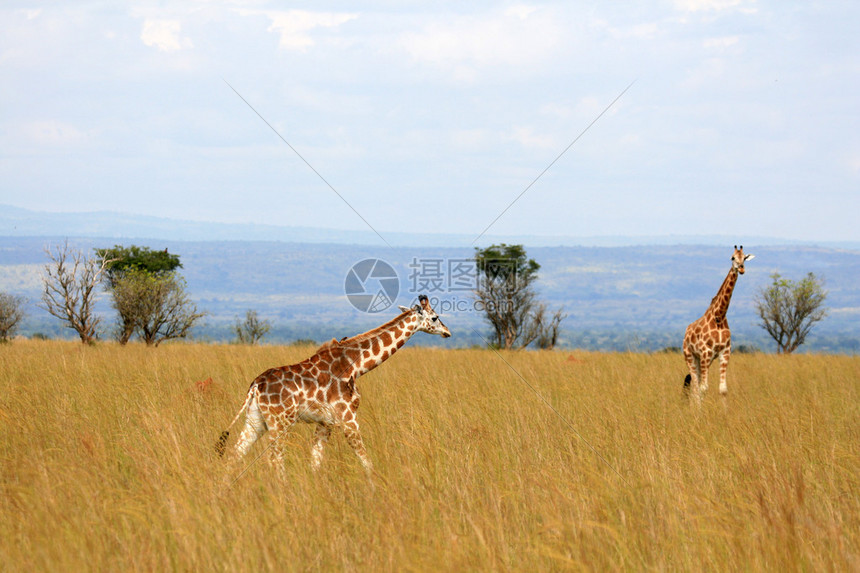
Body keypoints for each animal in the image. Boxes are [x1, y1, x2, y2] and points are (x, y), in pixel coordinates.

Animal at [215, 294, 450, 474]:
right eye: (435, 317)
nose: (448, 332)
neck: (356, 365)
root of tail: (256, 385)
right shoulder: (347, 418)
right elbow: (366, 460)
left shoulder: (324, 423)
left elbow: (315, 463)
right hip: (279, 422)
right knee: (275, 460)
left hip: (256, 420)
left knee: (234, 455)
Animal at [680, 244, 756, 400]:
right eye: (733, 257)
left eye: (745, 257)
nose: (741, 269)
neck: (719, 316)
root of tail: (686, 333)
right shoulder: (706, 352)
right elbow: (703, 388)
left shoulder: (724, 353)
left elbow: (723, 389)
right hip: (690, 356)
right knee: (695, 387)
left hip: (701, 360)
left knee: (695, 386)